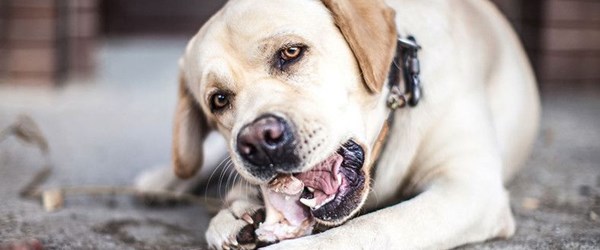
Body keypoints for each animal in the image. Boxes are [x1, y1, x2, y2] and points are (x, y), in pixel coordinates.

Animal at [136, 0, 540, 248]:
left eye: (291, 53)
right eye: (218, 100)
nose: (258, 141)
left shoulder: (469, 188)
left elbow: (373, 226)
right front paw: (234, 213)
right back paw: (159, 181)